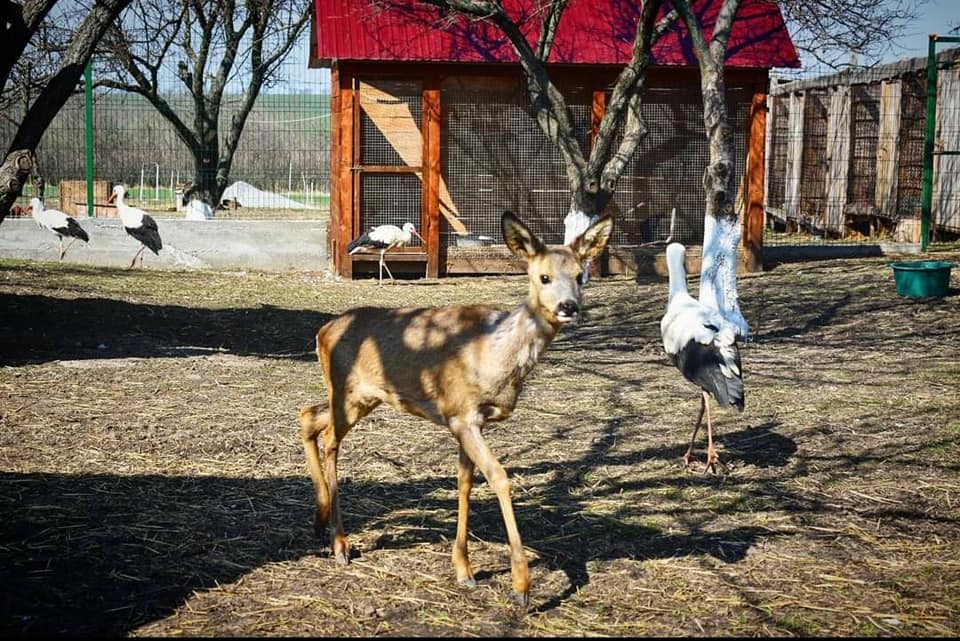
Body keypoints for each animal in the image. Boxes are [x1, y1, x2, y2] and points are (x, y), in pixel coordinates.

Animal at [300, 210, 616, 604]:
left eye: (579, 275)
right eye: (543, 276)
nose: (568, 307)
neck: (491, 357)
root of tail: (322, 331)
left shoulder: (468, 422)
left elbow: (465, 481)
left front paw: (464, 569)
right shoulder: (461, 415)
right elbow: (499, 477)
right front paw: (521, 586)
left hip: (361, 396)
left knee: (309, 415)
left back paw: (319, 520)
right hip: (348, 392)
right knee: (330, 438)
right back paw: (340, 544)